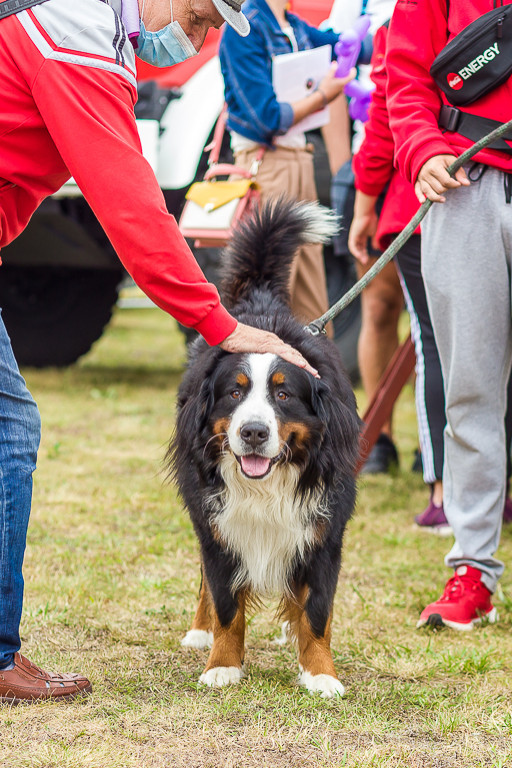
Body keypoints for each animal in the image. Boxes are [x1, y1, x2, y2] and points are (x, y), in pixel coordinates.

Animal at [168, 196, 360, 696]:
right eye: (234, 393)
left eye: (283, 394)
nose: (253, 432)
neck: (266, 487)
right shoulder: (220, 527)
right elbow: (226, 604)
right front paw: (222, 664)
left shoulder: (323, 533)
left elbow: (317, 612)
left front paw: (320, 673)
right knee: (205, 582)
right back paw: (200, 631)